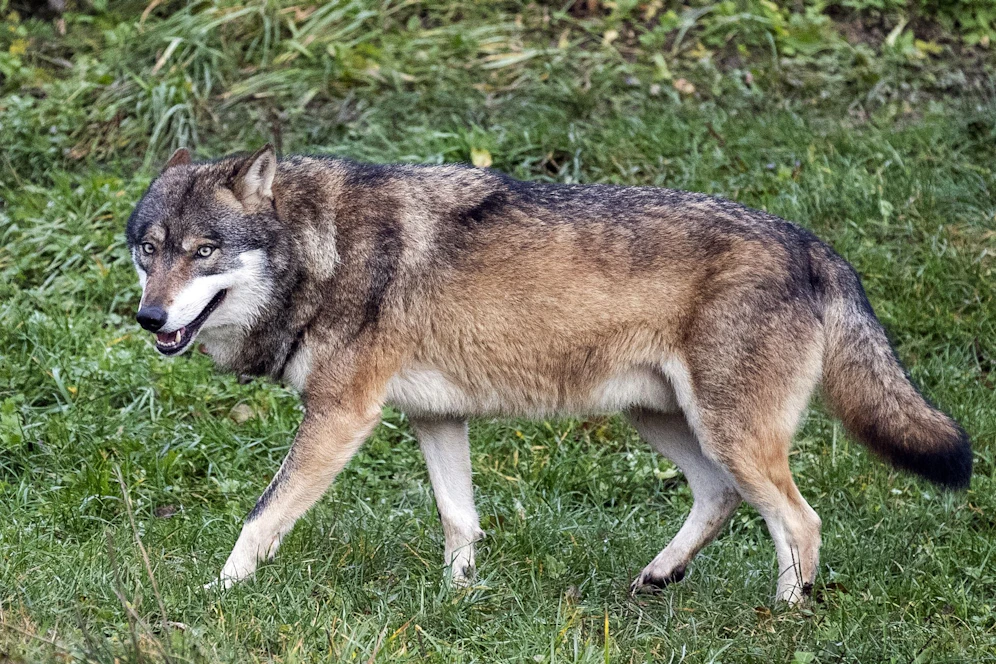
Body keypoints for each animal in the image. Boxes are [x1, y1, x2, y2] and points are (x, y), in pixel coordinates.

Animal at [126, 145, 971, 603]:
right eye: (148, 250)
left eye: (203, 251)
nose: (150, 318)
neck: (320, 251)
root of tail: (812, 243)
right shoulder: (435, 418)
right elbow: (459, 519)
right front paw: (459, 598)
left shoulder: (340, 416)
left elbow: (260, 516)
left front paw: (219, 594)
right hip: (667, 423)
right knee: (721, 497)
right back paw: (656, 578)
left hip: (727, 433)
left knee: (800, 521)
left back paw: (785, 615)